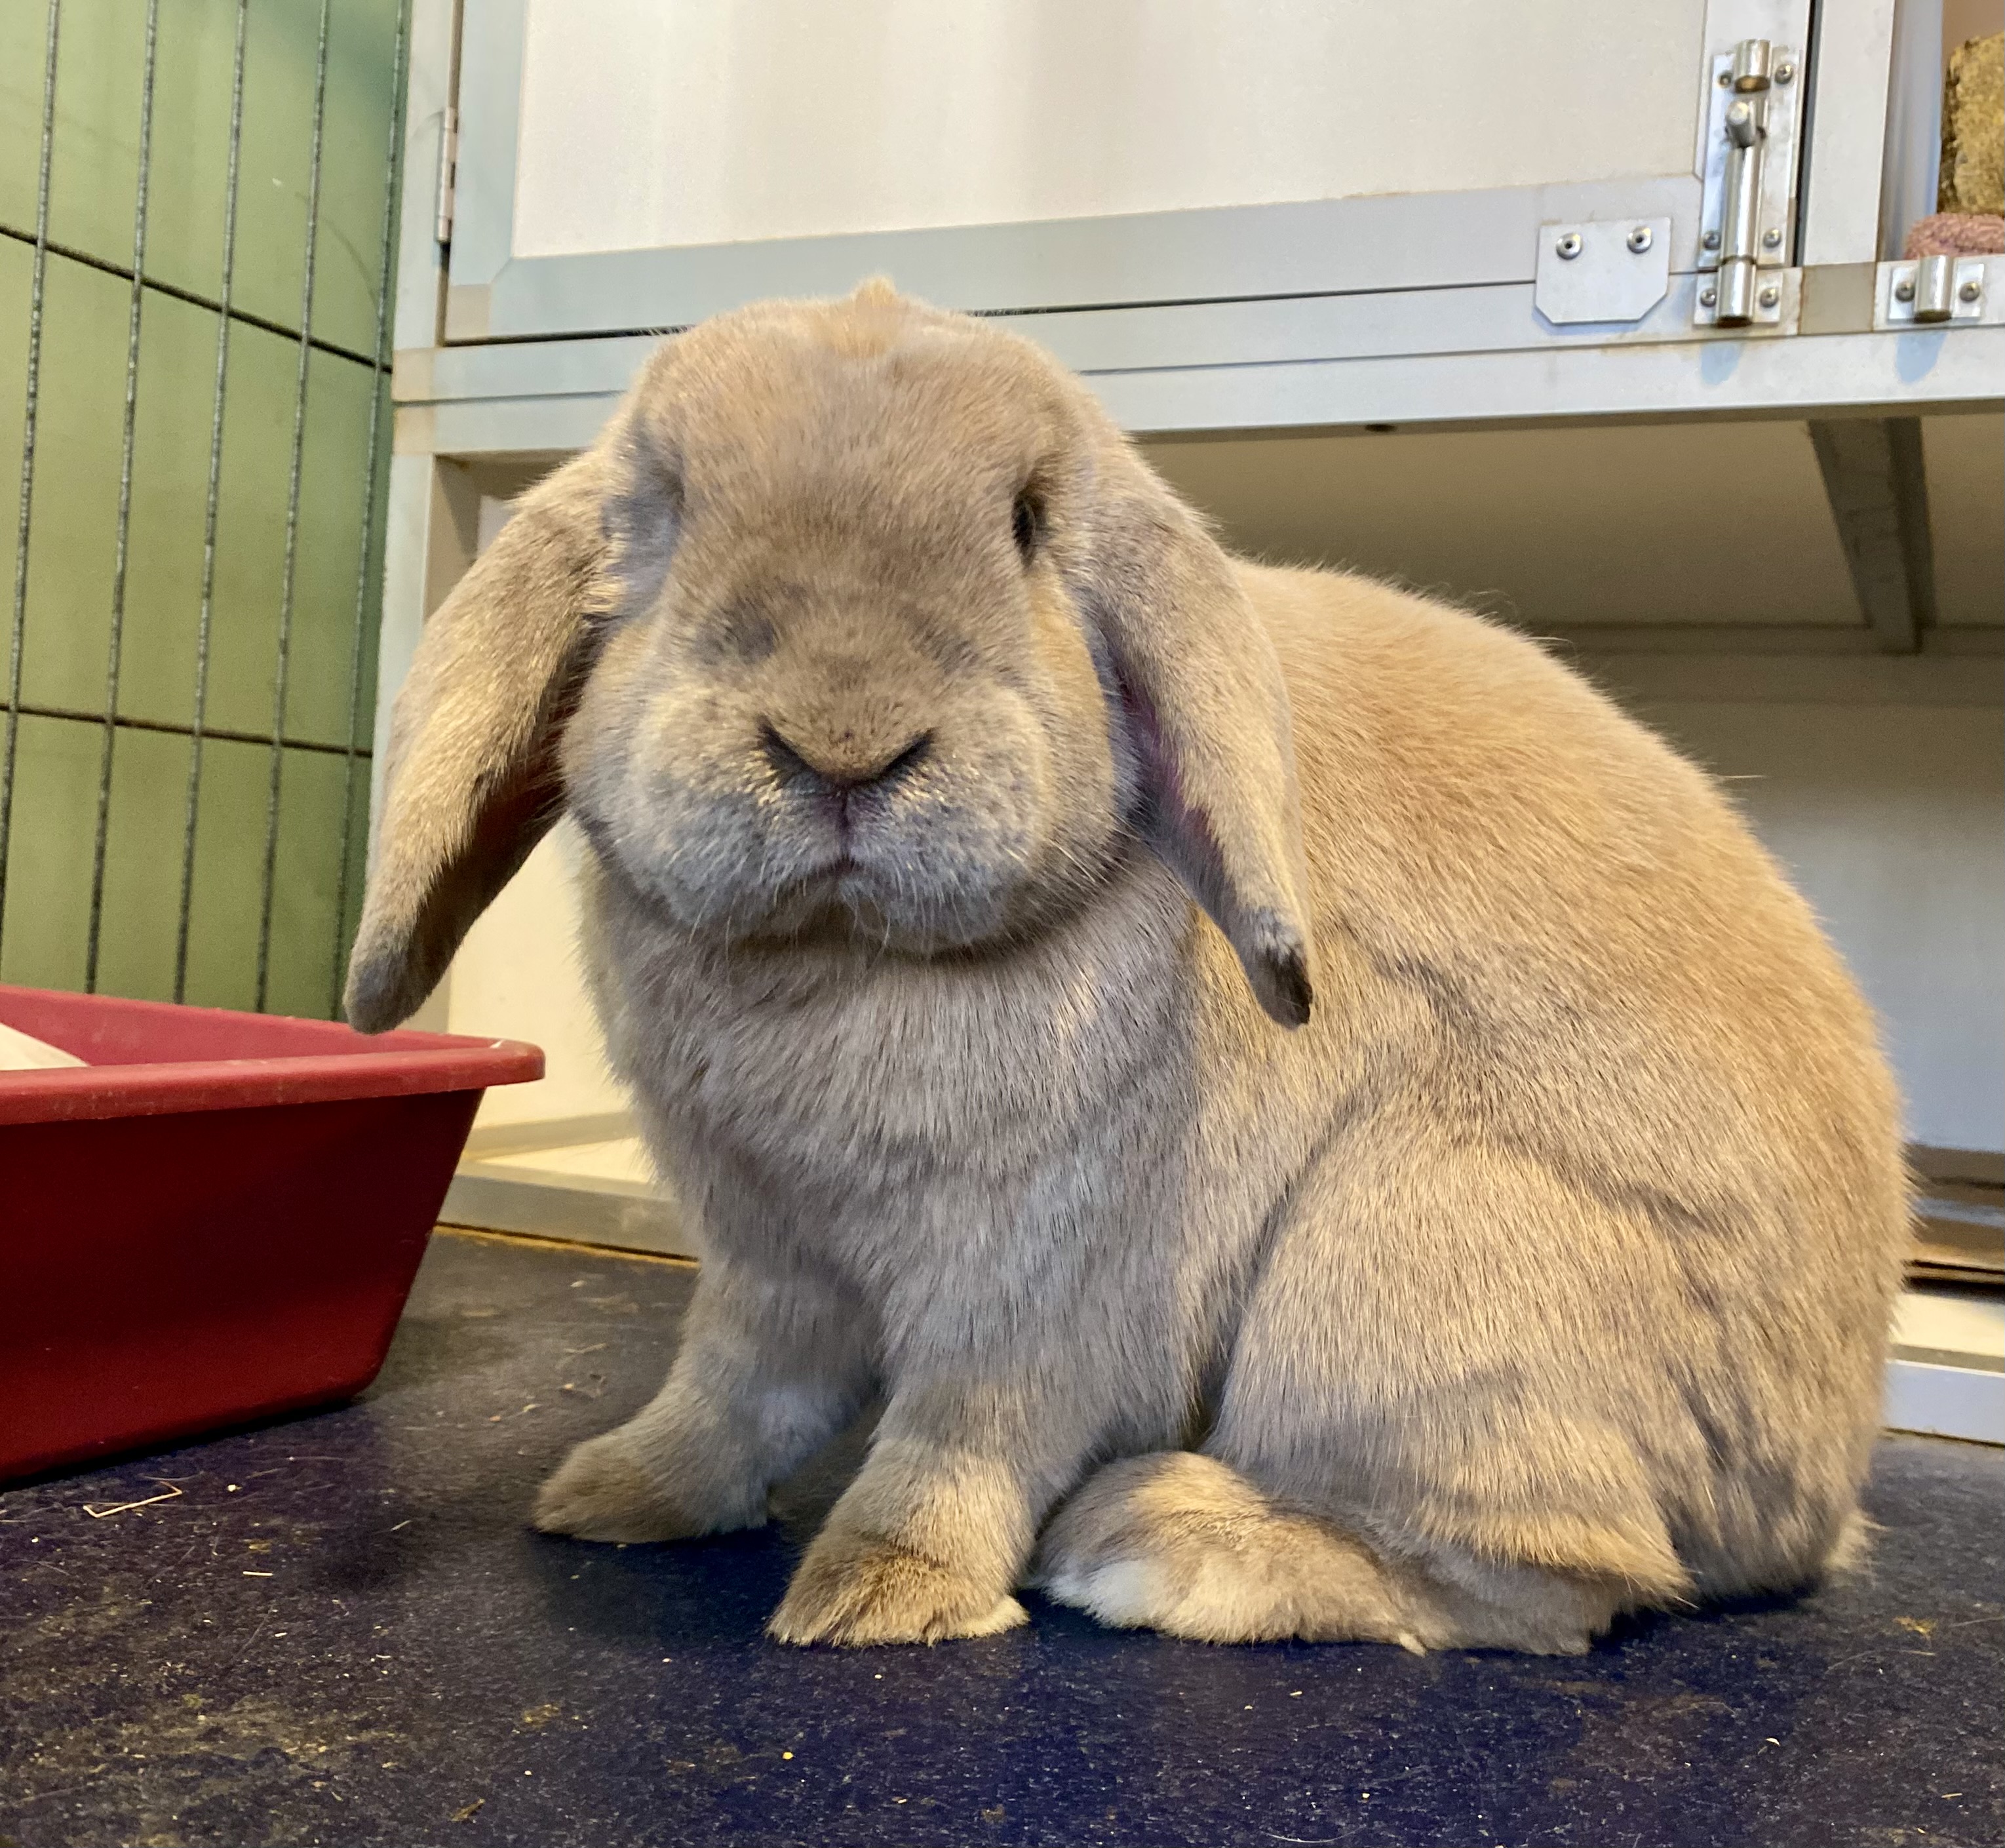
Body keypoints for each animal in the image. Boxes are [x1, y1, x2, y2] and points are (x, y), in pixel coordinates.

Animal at [347, 280, 1908, 1654]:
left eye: (1030, 523)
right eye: (664, 509)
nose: (843, 741)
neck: (849, 954)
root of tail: (1808, 1496)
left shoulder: (1035, 1289)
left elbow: (955, 1447)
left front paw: (877, 1599)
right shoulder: (762, 1263)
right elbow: (732, 1399)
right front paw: (610, 1495)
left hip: (1406, 1284)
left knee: (1553, 1583)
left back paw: (1151, 1541)